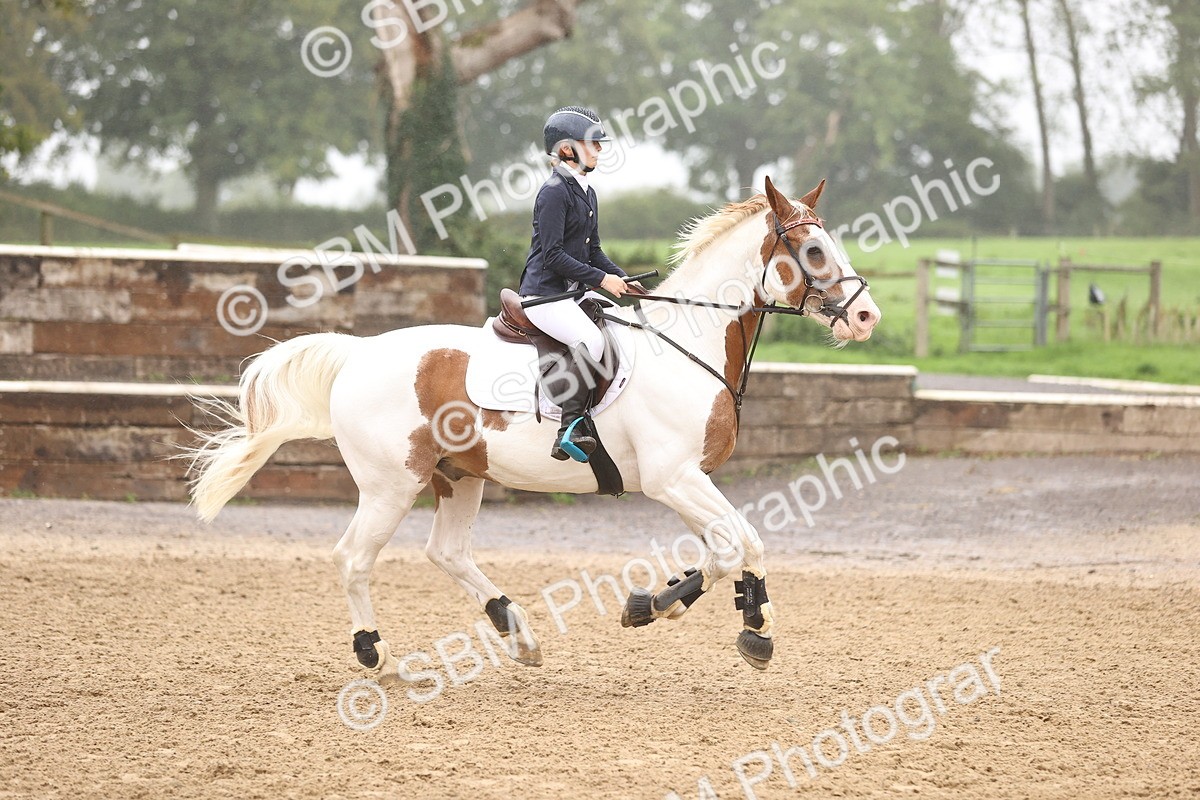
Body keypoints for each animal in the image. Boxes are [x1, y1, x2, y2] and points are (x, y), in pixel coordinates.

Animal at [187, 176, 881, 675]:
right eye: (813, 251)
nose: (867, 316)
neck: (690, 339)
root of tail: (358, 354)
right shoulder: (673, 478)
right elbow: (744, 542)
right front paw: (754, 631)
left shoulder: (687, 480)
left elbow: (723, 548)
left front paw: (651, 605)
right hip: (391, 485)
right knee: (354, 558)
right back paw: (374, 653)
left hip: (459, 475)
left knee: (447, 551)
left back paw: (516, 633)